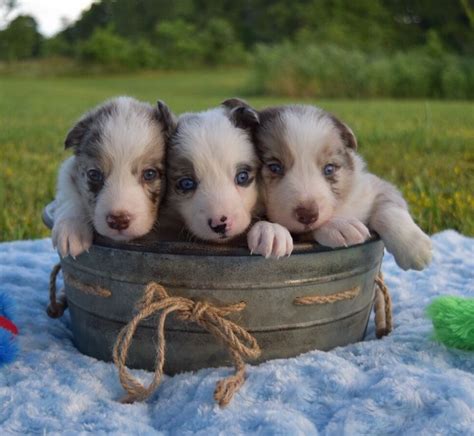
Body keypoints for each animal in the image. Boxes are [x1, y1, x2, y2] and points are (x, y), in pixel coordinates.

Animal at [52, 97, 174, 258]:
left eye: (149, 174)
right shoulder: (68, 172)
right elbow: (70, 196)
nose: (118, 220)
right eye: (94, 174)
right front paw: (72, 229)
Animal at [224, 101, 432, 270]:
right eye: (275, 167)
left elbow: (389, 206)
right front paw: (272, 232)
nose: (308, 214)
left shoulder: (370, 186)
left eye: (329, 169)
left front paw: (415, 247)